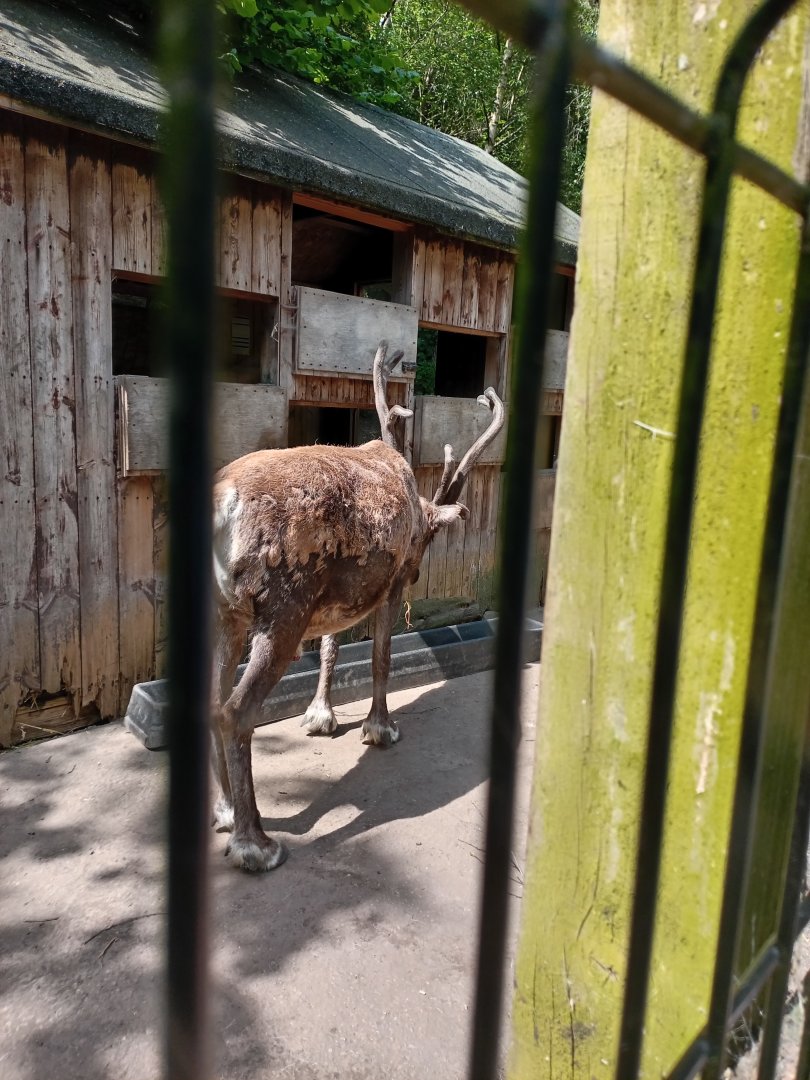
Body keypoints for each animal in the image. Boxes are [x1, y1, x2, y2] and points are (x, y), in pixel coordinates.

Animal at [210, 341, 505, 871]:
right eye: (426, 539)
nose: (420, 570)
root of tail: (223, 505)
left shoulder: (334, 603)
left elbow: (330, 651)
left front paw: (320, 716)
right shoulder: (390, 587)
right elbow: (380, 659)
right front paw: (379, 728)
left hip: (227, 612)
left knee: (210, 701)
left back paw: (223, 810)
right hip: (281, 614)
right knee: (235, 711)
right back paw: (255, 842)